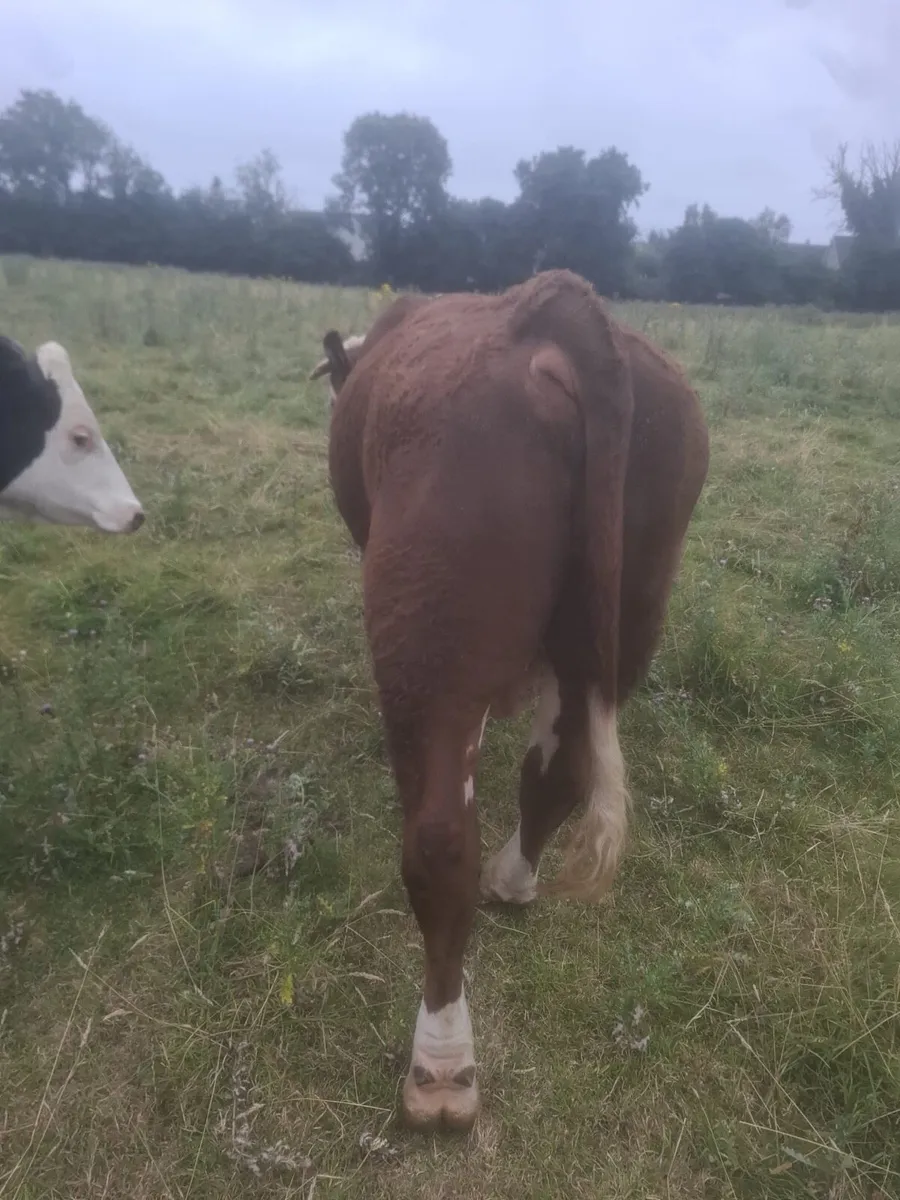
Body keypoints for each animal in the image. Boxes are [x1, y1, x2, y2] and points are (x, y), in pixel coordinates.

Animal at [309, 269, 709, 1134]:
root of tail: (555, 317)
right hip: (627, 605)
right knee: (560, 771)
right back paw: (516, 879)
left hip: (430, 631)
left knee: (438, 845)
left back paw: (440, 1065)